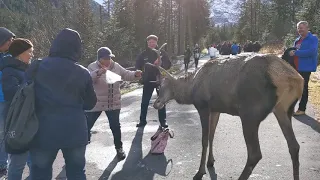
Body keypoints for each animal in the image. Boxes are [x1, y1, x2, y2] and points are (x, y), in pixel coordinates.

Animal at [149, 54, 304, 180]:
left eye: (163, 85)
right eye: (158, 86)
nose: (156, 103)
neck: (190, 89)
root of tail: (294, 79)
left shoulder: (203, 106)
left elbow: (204, 139)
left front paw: (200, 171)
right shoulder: (216, 109)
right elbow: (211, 135)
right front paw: (210, 162)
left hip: (250, 113)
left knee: (255, 153)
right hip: (283, 110)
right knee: (294, 146)